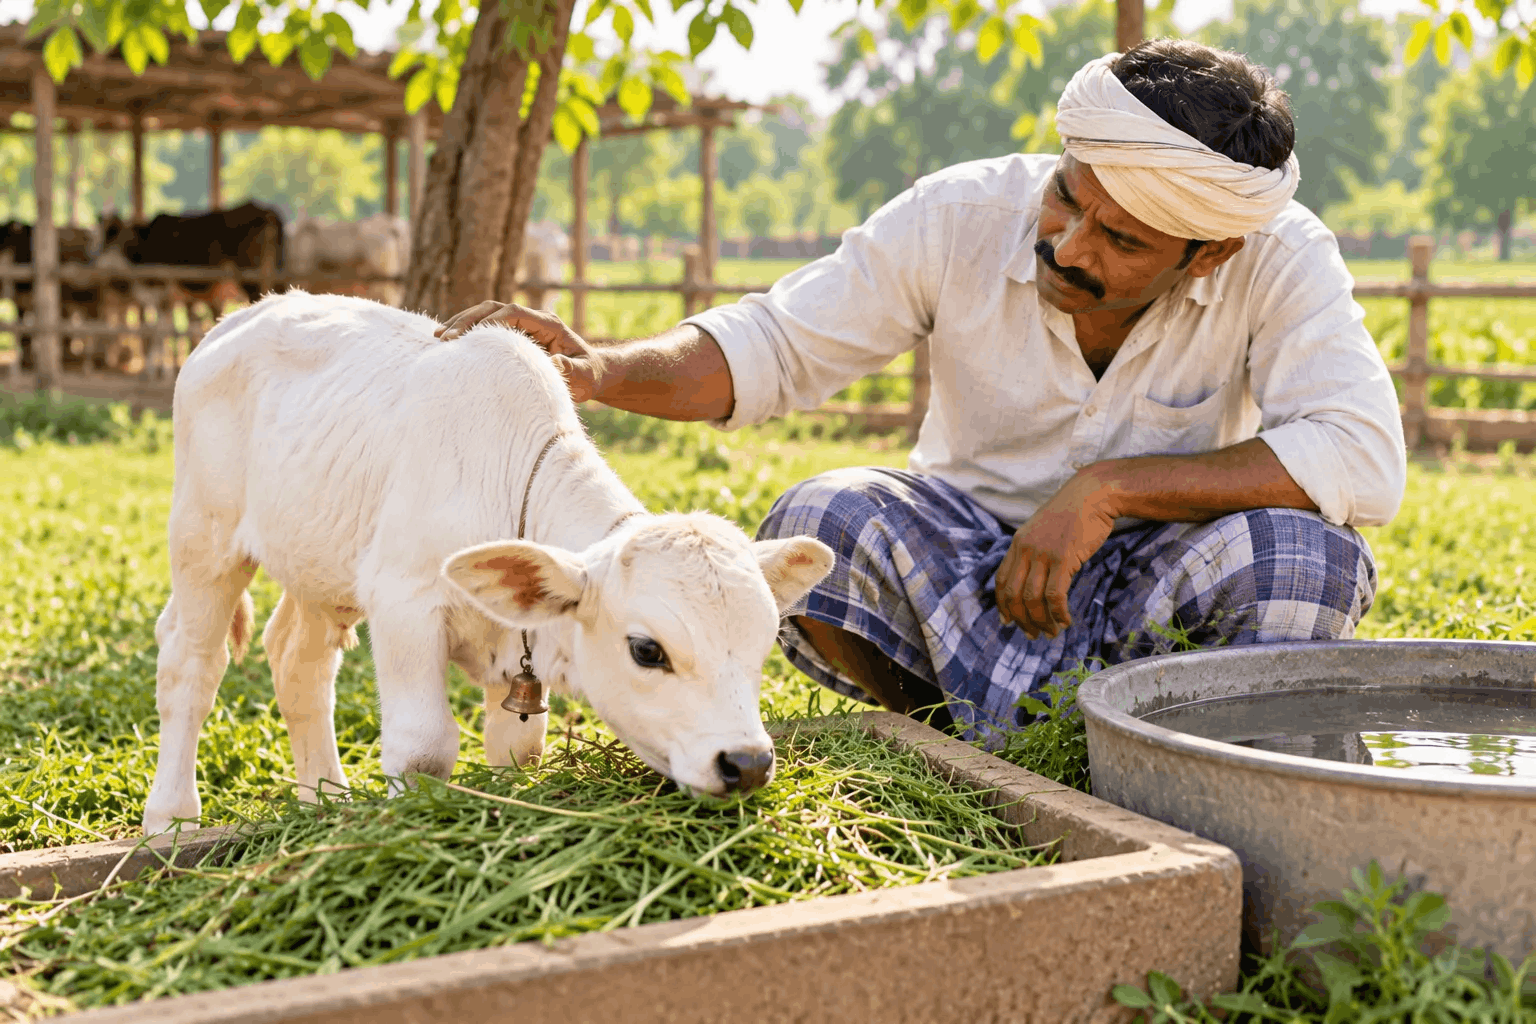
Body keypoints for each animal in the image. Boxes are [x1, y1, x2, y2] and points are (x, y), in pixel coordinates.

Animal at [142, 290, 834, 835]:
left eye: (764, 644)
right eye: (647, 650)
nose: (747, 763)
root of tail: (243, 316)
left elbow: (518, 747)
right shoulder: (403, 600)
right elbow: (424, 746)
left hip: (319, 565)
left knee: (299, 662)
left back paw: (325, 800)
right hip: (204, 533)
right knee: (192, 665)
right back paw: (171, 819)